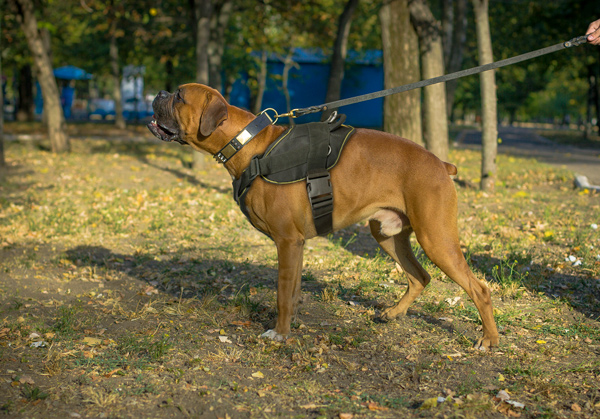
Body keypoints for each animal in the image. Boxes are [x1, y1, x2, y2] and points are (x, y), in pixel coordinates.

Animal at [150, 83, 502, 352]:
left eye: (179, 96)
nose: (159, 92)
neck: (249, 146)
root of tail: (441, 164)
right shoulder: (296, 246)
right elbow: (292, 291)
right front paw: (289, 326)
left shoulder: (287, 242)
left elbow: (282, 293)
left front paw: (279, 334)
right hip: (387, 235)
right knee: (420, 277)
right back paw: (393, 313)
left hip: (436, 238)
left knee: (479, 289)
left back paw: (488, 340)